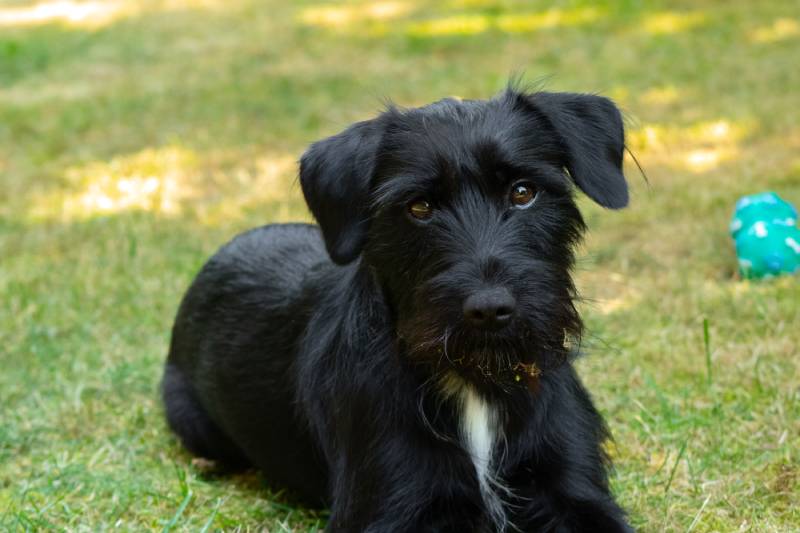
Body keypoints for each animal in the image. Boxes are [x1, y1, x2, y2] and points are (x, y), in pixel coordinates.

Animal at [162, 86, 636, 528]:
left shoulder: (574, 492)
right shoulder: (391, 510)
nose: (490, 309)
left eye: (523, 192)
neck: (477, 380)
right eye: (419, 206)